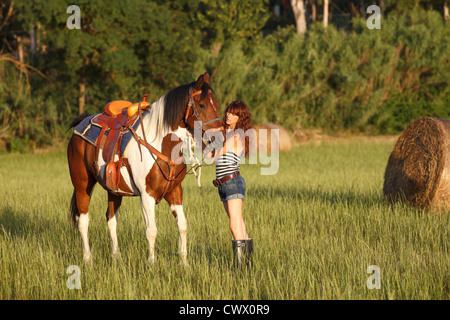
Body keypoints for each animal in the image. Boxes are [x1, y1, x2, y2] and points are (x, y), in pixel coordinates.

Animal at [66, 73, 221, 264]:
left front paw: (184, 262)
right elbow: (151, 230)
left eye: (217, 104)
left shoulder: (175, 191)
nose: (219, 139)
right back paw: (88, 259)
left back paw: (116, 256)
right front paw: (152, 263)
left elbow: (182, 225)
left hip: (114, 191)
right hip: (82, 186)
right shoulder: (147, 195)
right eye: (202, 105)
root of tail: (81, 123)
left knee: (111, 220)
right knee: (83, 221)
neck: (161, 144)